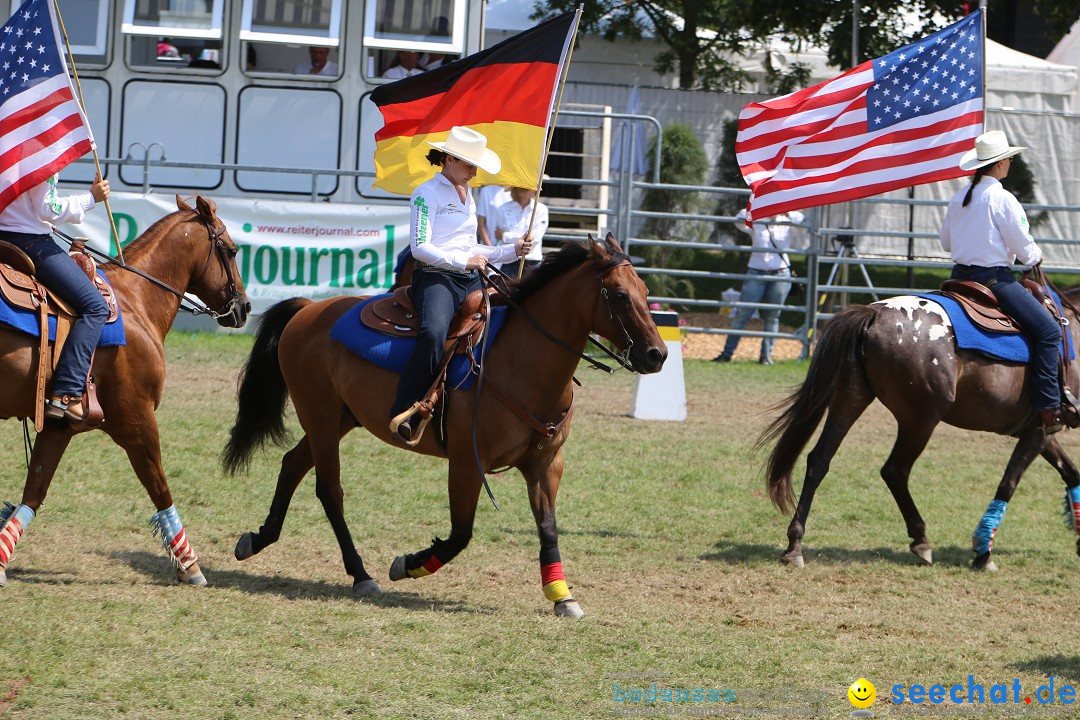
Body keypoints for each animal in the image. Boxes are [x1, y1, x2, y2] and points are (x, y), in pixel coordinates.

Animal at [0, 195, 248, 587]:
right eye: (232, 250)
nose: (245, 306)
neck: (136, 300)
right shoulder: (136, 421)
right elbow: (159, 486)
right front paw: (189, 564)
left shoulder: (57, 427)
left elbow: (34, 493)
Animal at [221, 236, 665, 621]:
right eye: (619, 295)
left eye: (644, 290)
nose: (657, 355)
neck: (521, 360)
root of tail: (307, 310)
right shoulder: (467, 463)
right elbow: (460, 535)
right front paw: (408, 565)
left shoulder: (546, 465)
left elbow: (548, 528)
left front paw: (562, 595)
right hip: (322, 418)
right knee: (329, 489)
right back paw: (361, 574)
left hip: (338, 419)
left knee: (293, 464)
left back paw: (257, 539)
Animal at [760, 289, 1080, 569]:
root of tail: (873, 313)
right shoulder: (1039, 430)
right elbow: (1009, 483)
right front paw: (982, 553)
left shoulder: (1040, 431)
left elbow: (1070, 473)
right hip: (920, 419)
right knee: (894, 471)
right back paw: (921, 540)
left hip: (849, 399)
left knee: (819, 461)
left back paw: (794, 546)